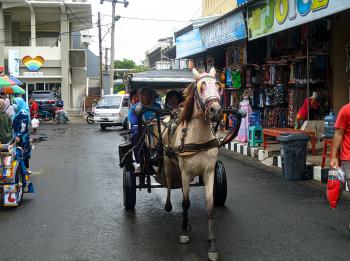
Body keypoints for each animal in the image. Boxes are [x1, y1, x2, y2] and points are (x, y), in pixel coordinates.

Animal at [163, 67, 223, 260]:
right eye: (201, 86)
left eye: (218, 85)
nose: (216, 111)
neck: (199, 139)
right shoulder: (185, 173)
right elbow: (185, 202)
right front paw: (183, 232)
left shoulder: (209, 172)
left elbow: (210, 207)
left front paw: (212, 245)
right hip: (168, 164)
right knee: (169, 183)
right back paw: (169, 206)